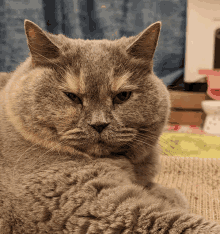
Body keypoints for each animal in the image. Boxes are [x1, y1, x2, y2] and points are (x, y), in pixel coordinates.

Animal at [0, 20, 196, 234]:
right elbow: (173, 221)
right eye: (72, 96)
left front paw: (168, 194)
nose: (99, 124)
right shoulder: (93, 204)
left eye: (122, 96)